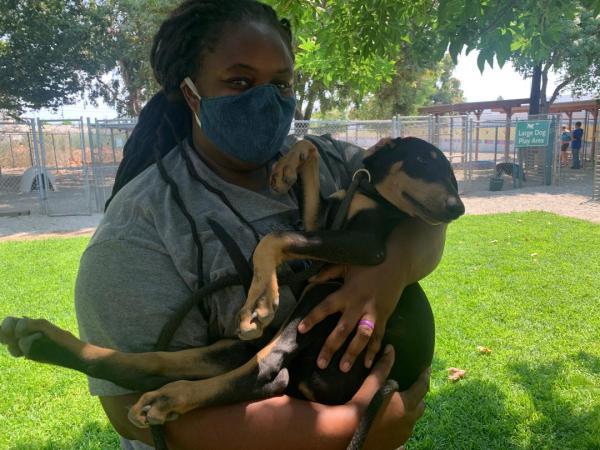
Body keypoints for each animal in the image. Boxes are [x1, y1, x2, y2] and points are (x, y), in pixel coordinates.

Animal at [0, 137, 464, 440]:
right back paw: (40, 337)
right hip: (279, 327)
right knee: (151, 362)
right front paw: (291, 162)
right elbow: (305, 197)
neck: (369, 192)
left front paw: (260, 300)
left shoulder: (367, 246)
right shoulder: (325, 226)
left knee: (265, 366)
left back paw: (171, 396)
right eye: (425, 160)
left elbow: (275, 237)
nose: (458, 208)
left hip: (313, 308)